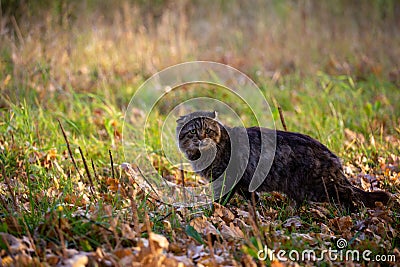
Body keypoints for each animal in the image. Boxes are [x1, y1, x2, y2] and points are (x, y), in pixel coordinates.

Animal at [177, 111, 392, 209]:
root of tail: (333, 157)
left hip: (320, 187)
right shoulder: (243, 183)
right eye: (194, 131)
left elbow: (221, 200)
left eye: (208, 130)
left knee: (351, 195)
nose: (201, 138)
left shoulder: (226, 180)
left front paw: (213, 212)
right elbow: (252, 197)